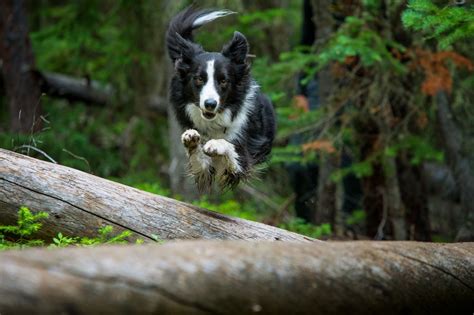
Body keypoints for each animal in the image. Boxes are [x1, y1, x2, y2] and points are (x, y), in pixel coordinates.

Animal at [167, 6, 276, 190]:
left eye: (223, 80)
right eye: (199, 79)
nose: (210, 104)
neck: (215, 121)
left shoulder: (242, 162)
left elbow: (229, 146)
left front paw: (216, 144)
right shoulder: (205, 171)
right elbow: (200, 160)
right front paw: (192, 141)